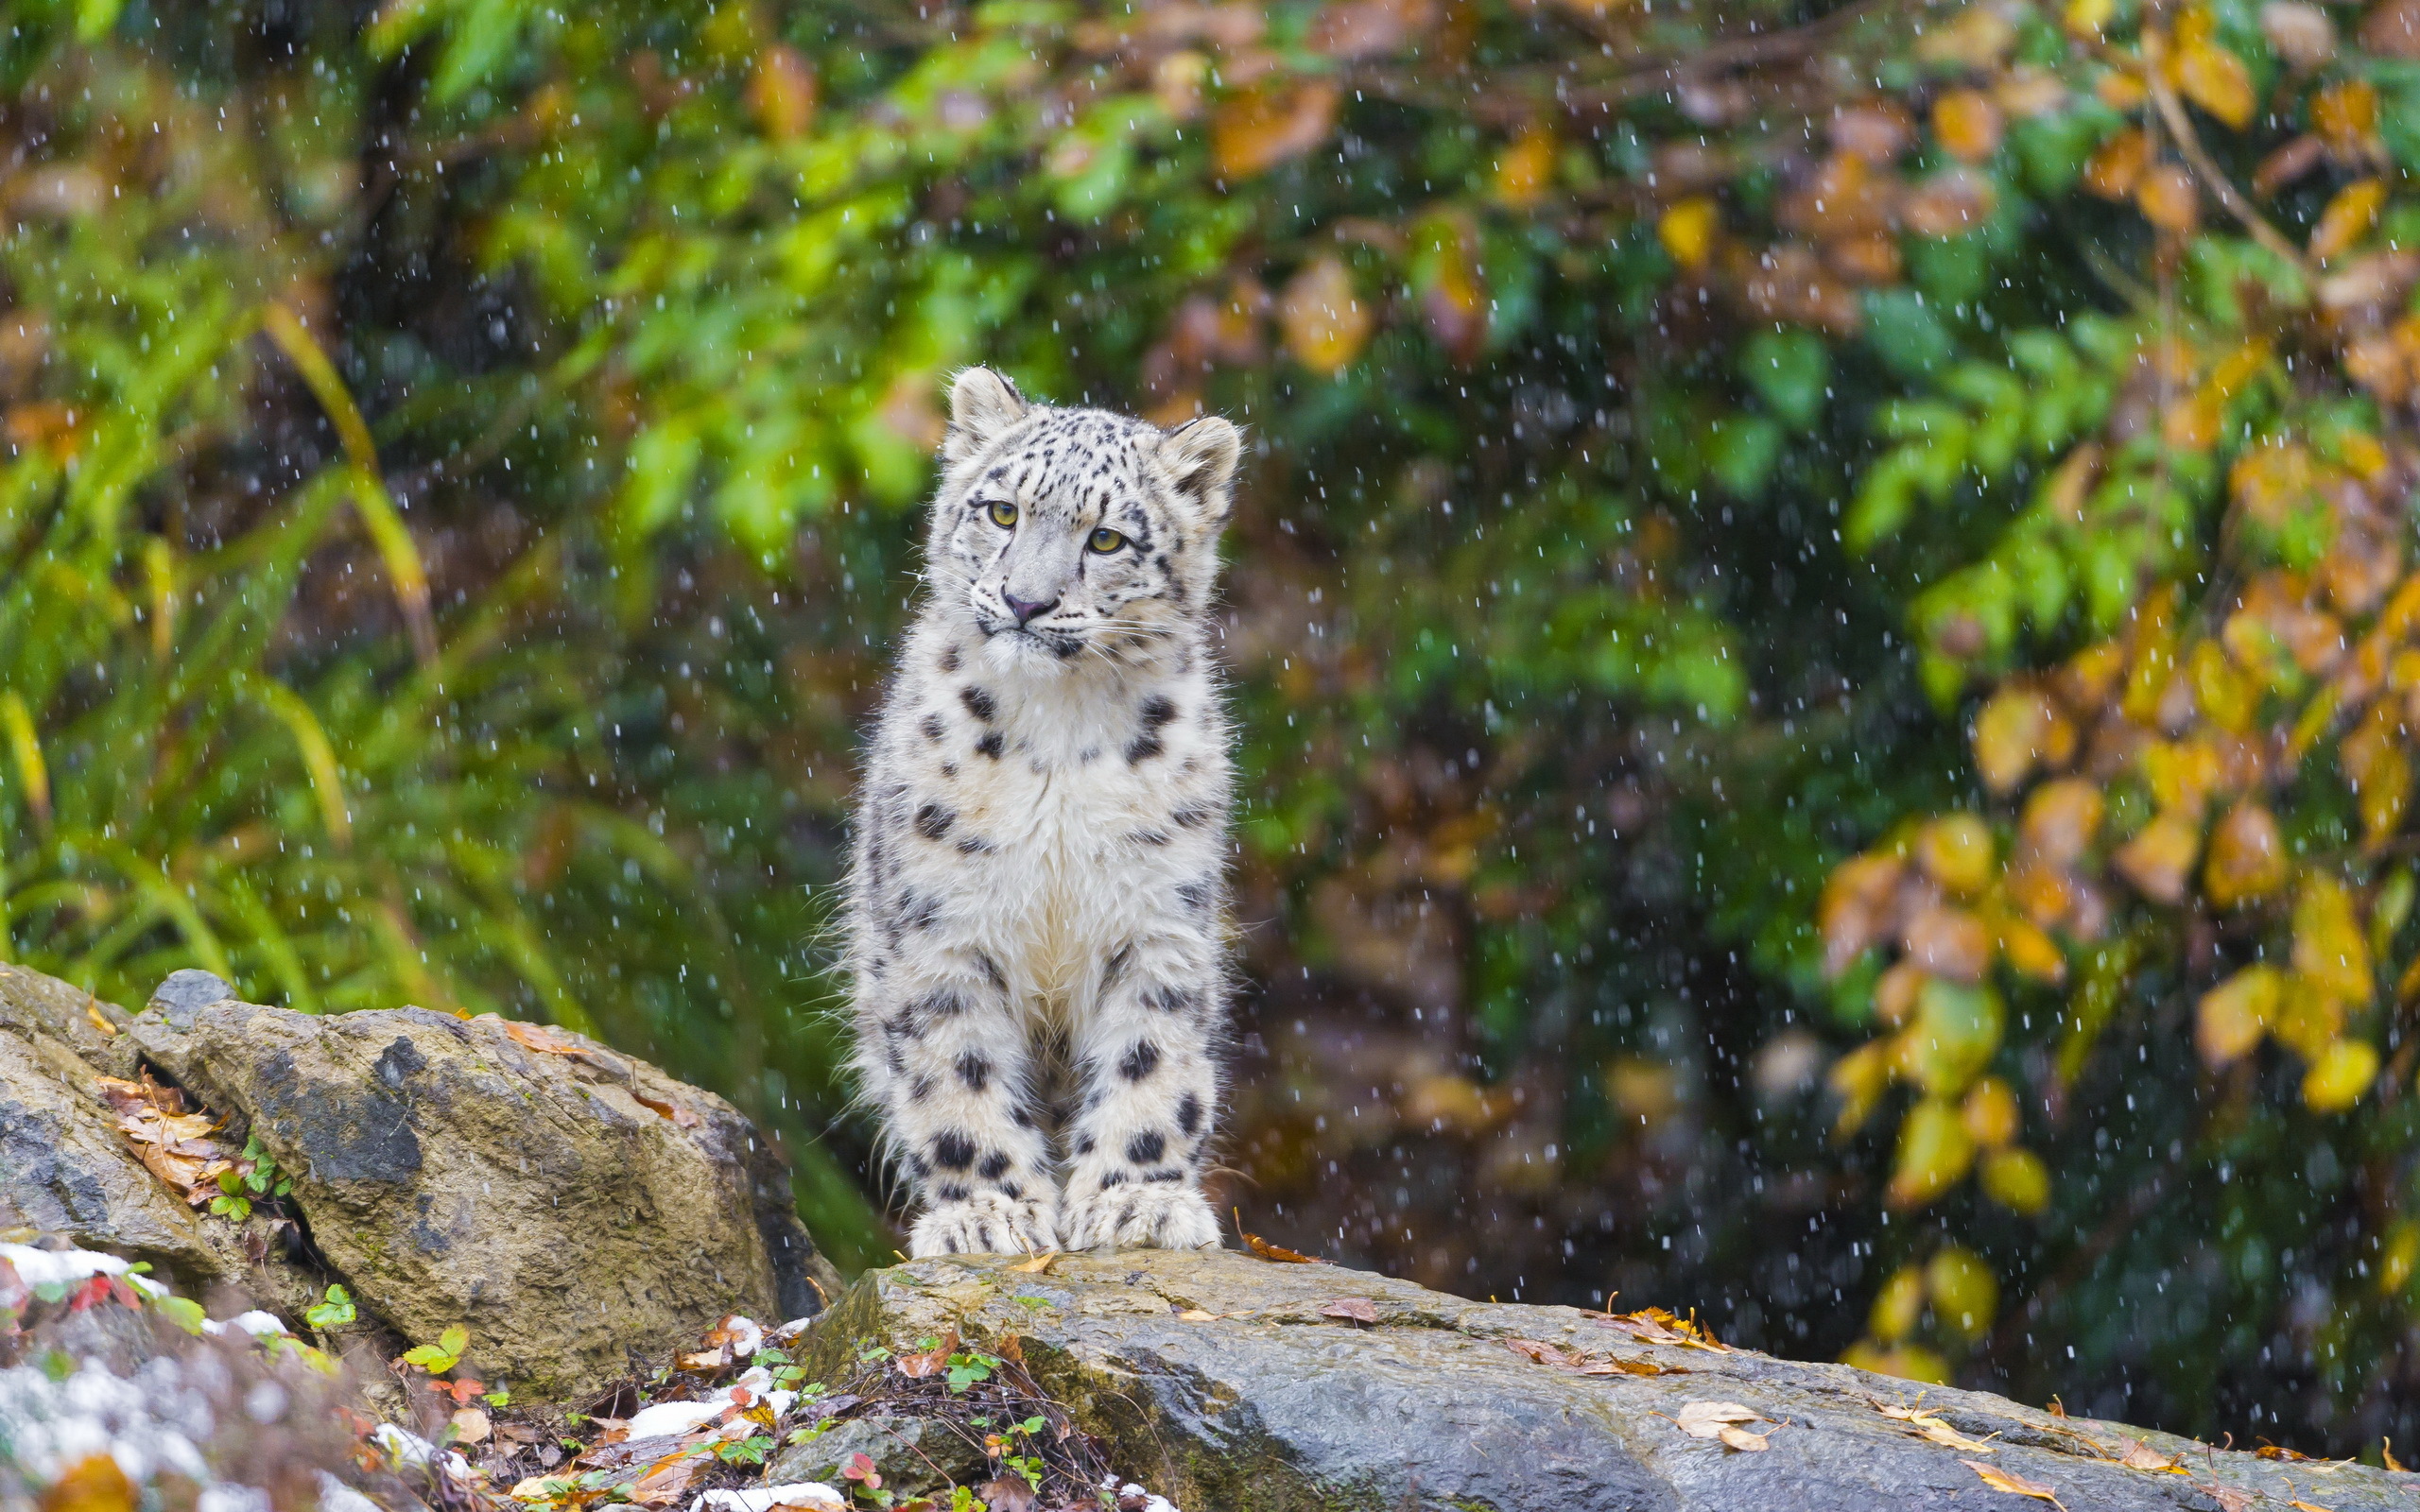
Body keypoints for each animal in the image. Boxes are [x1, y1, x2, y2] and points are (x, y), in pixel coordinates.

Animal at [841, 365, 1238, 1247]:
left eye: (1107, 540)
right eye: (1002, 512)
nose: (1025, 602)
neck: (1060, 728)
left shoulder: (1158, 922)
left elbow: (1150, 1058)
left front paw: (1136, 1199)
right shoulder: (941, 928)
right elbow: (954, 1069)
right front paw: (987, 1213)